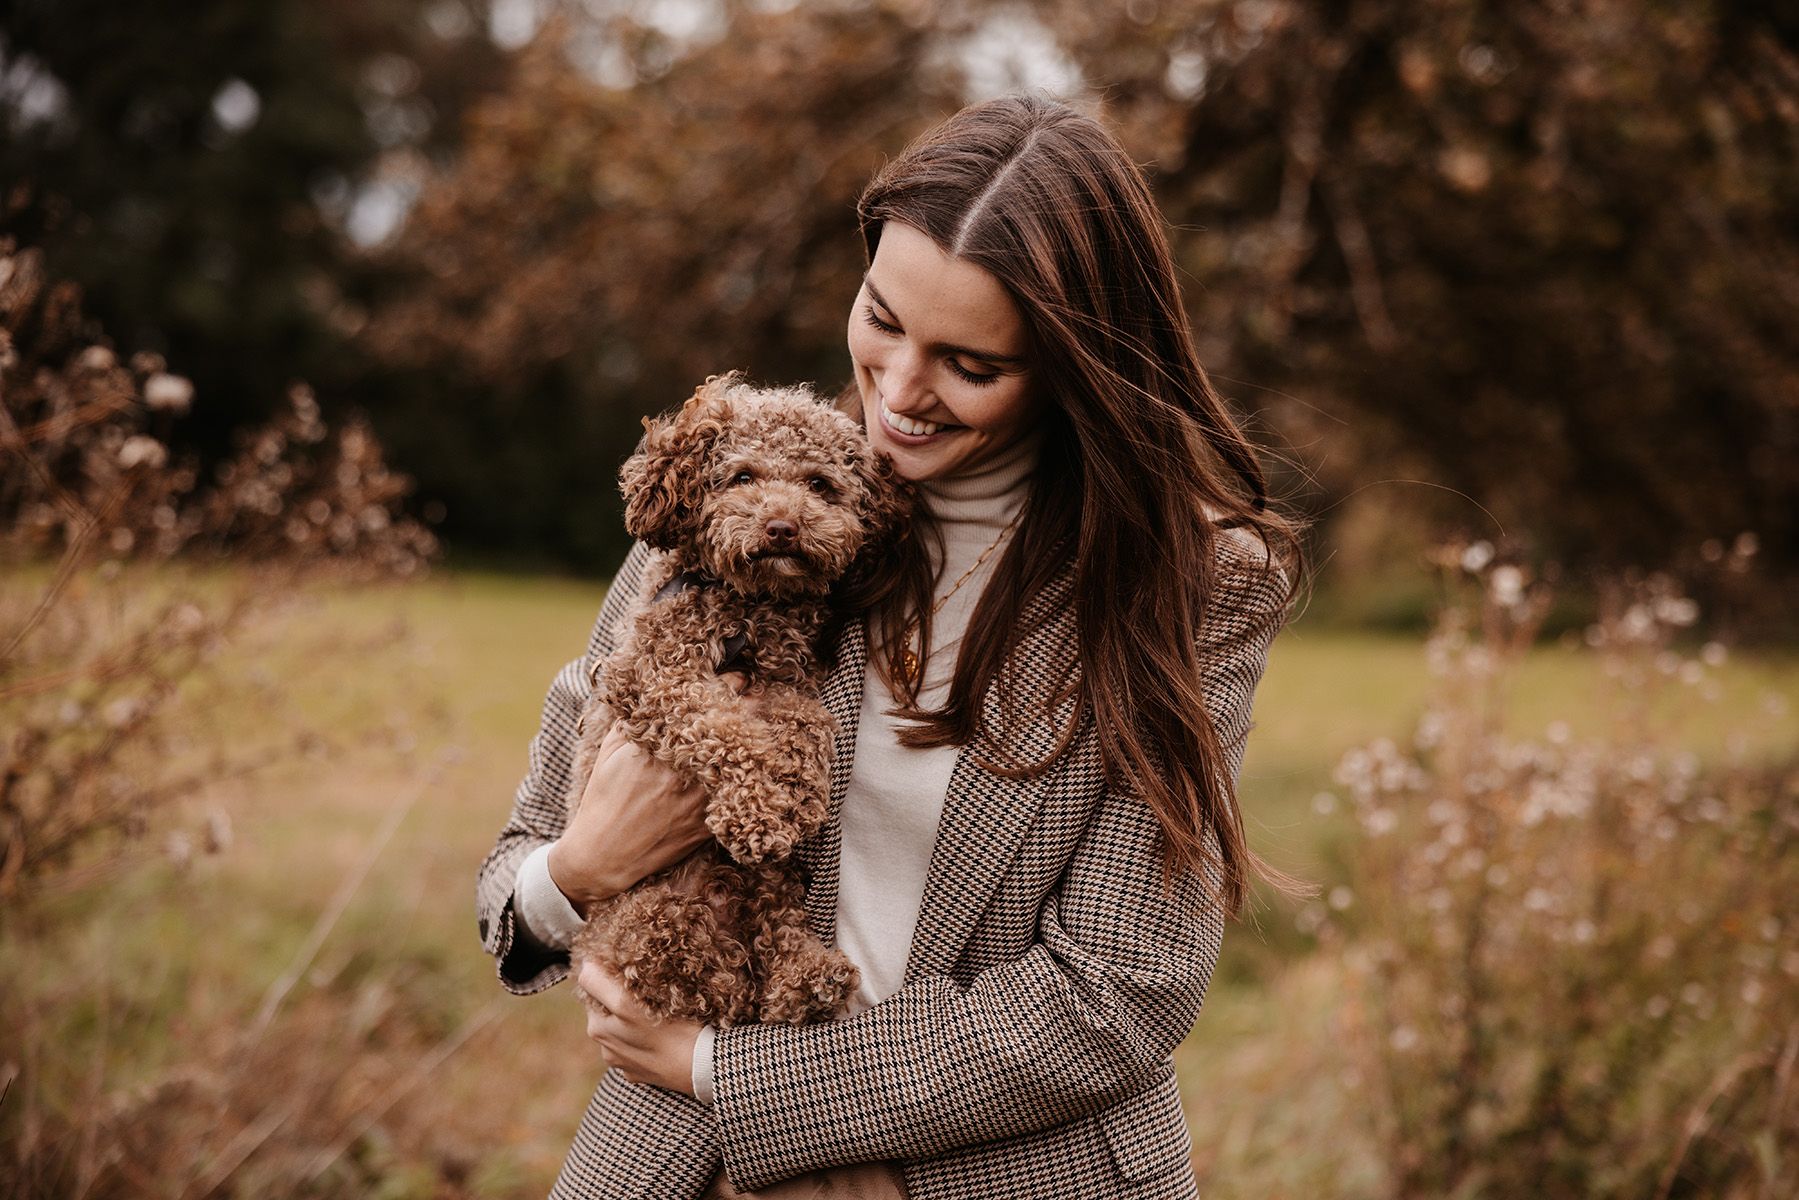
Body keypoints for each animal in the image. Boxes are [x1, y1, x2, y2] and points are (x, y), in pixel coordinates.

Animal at [568, 370, 913, 1029]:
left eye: (819, 484)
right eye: (743, 477)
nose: (782, 527)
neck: (751, 606)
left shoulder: (788, 681)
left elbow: (808, 723)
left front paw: (795, 795)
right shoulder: (652, 676)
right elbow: (725, 731)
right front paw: (759, 812)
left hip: (762, 886)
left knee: (773, 927)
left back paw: (807, 976)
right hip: (651, 917)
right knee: (701, 978)